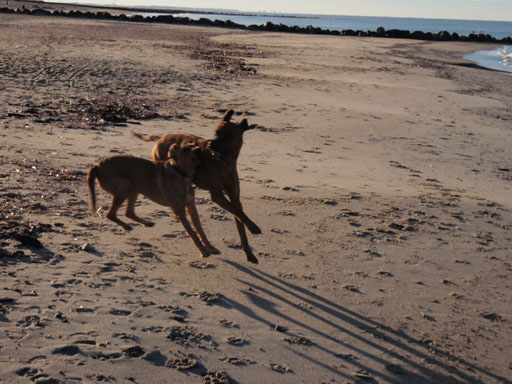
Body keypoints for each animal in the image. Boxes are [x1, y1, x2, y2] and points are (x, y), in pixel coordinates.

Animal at [87, 143, 215, 258]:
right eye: (185, 150)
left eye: (194, 144)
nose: (199, 149)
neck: (182, 174)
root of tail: (97, 166)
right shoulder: (179, 211)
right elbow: (193, 233)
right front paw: (203, 251)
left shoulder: (191, 206)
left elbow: (200, 230)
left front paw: (211, 247)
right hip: (125, 186)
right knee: (110, 214)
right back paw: (126, 226)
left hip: (134, 188)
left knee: (128, 212)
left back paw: (146, 223)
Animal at [133, 109, 260, 262]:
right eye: (216, 132)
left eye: (228, 136)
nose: (210, 145)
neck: (224, 163)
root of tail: (159, 138)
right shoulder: (217, 195)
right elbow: (238, 212)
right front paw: (254, 227)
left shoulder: (234, 196)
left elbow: (239, 215)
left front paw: (249, 253)